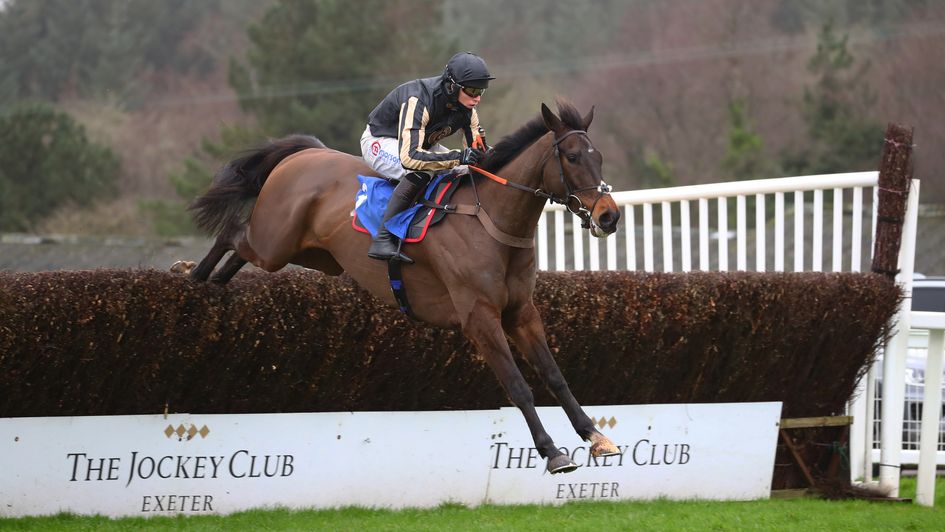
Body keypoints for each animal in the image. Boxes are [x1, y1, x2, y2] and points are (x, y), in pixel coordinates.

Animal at [188, 101, 624, 474]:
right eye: (572, 157)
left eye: (600, 157)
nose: (609, 216)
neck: (489, 220)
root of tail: (304, 154)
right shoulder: (479, 318)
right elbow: (518, 387)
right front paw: (553, 453)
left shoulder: (520, 312)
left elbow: (554, 376)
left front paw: (596, 436)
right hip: (274, 243)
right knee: (232, 233)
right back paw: (191, 278)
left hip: (313, 255)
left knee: (239, 249)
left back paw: (216, 283)